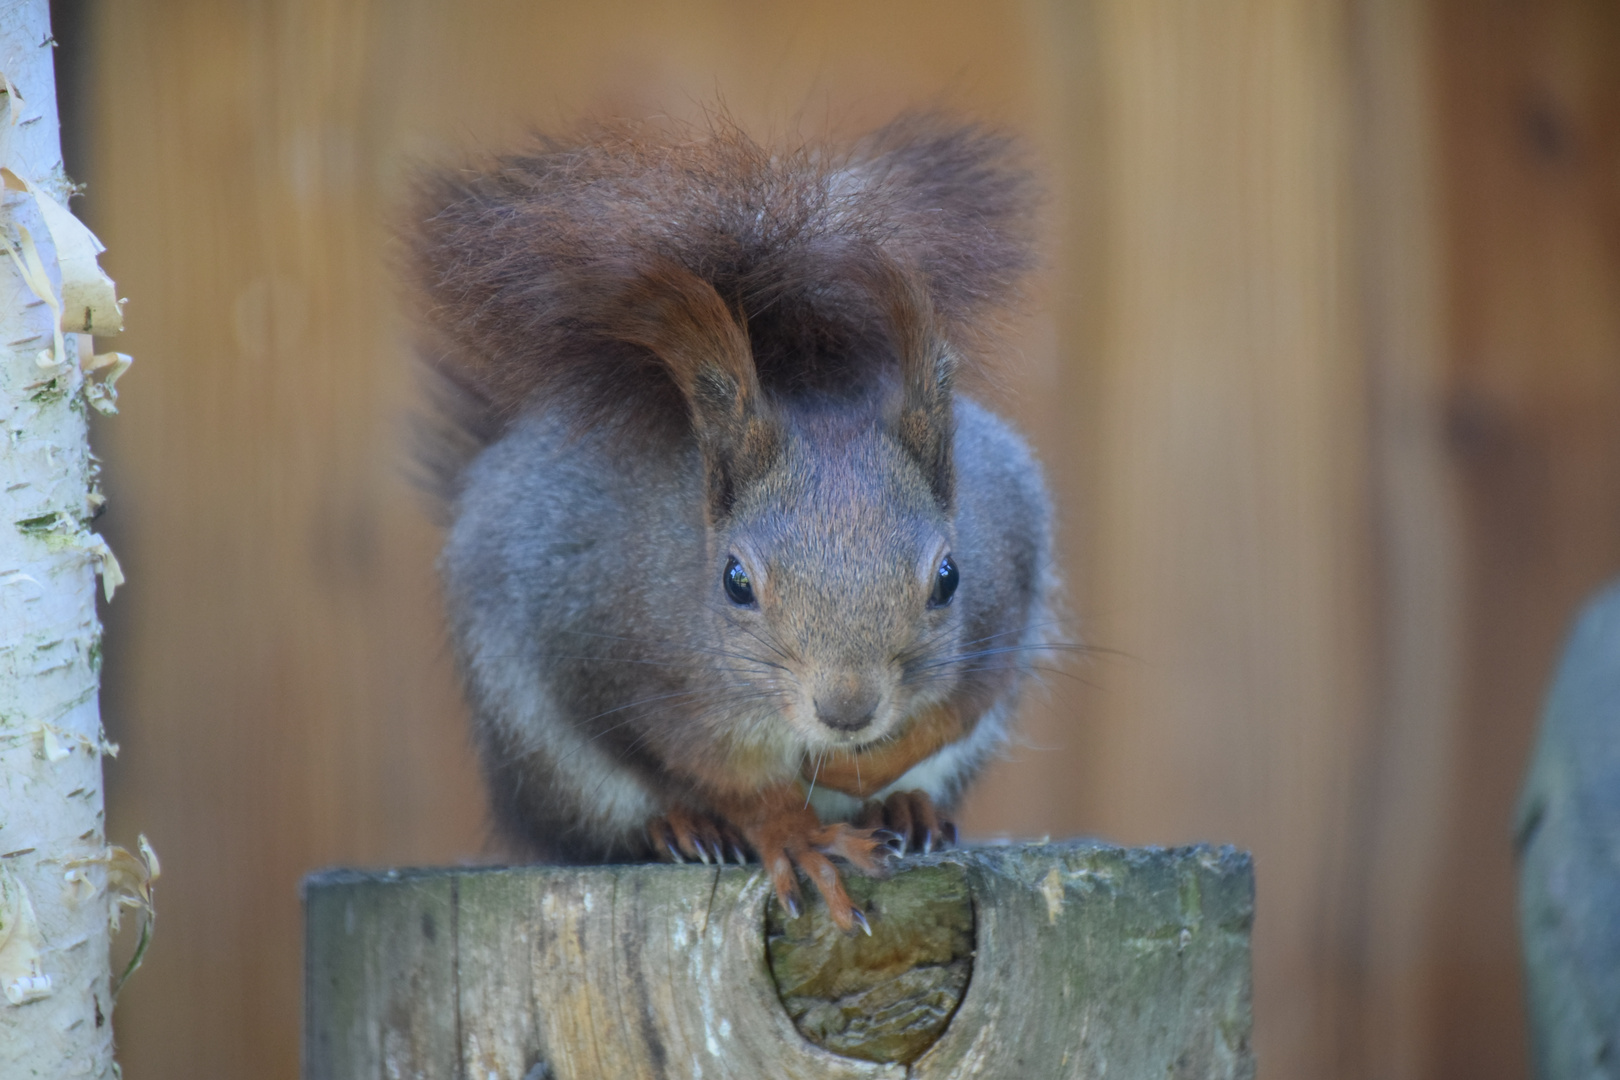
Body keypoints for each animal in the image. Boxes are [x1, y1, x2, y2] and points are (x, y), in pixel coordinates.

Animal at [411, 114, 1056, 932]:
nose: (847, 710)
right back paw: (684, 827)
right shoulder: (623, 666)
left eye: (949, 577)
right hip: (549, 755)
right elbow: (725, 779)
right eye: (735, 582)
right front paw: (795, 833)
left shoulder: (1008, 587)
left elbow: (950, 714)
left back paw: (906, 809)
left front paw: (869, 769)